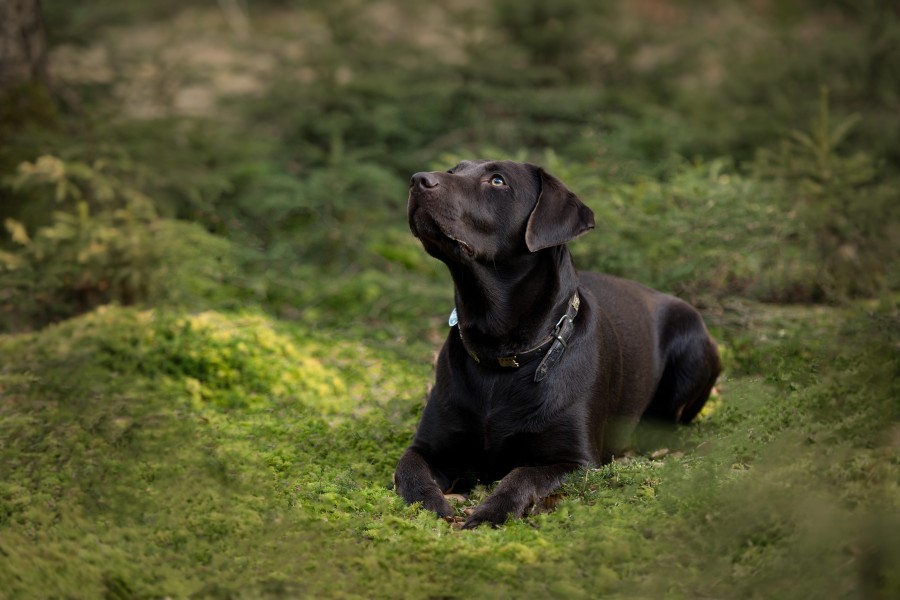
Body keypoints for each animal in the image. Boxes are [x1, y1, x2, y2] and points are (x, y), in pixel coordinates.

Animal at [392, 161, 716, 528]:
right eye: (453, 170)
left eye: (498, 181)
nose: (418, 179)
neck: (501, 352)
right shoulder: (429, 446)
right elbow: (409, 468)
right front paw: (428, 504)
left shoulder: (576, 462)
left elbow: (523, 475)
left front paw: (491, 511)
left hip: (692, 346)